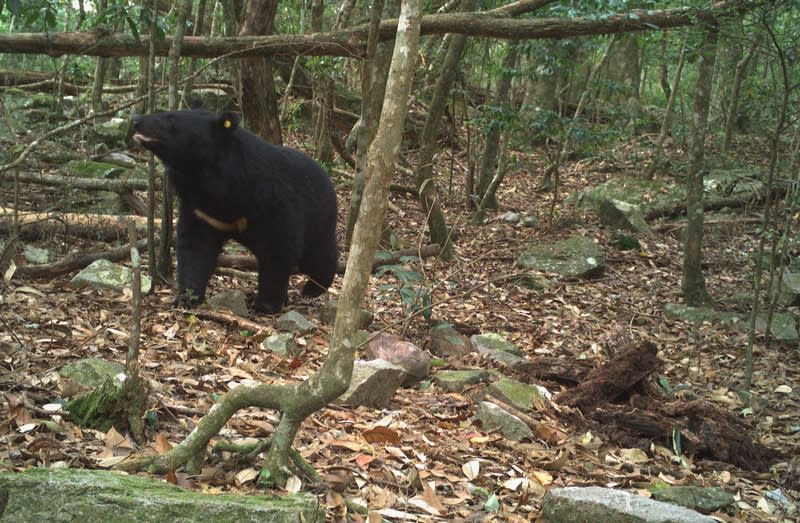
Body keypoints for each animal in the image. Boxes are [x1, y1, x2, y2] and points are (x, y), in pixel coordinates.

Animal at [132, 104, 338, 314]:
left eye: (171, 119)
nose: (136, 120)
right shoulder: (201, 210)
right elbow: (195, 246)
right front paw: (187, 297)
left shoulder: (274, 201)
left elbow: (279, 248)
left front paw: (265, 305)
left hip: (318, 216)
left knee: (318, 254)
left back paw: (313, 288)